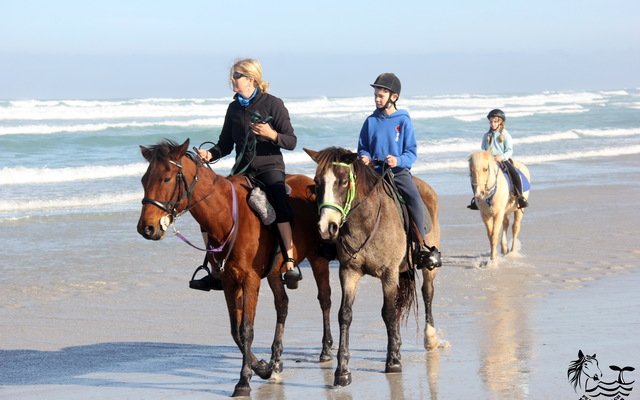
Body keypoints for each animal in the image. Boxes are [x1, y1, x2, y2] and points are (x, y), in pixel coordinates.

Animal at [136, 139, 333, 397]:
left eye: (167, 179)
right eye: (143, 180)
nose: (146, 228)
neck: (226, 216)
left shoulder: (250, 279)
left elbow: (246, 329)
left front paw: (244, 381)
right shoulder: (230, 281)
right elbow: (235, 331)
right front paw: (262, 368)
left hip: (318, 259)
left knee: (325, 299)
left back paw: (326, 350)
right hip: (273, 273)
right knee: (282, 306)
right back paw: (276, 359)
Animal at [304, 146, 440, 387]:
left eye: (343, 182)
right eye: (317, 182)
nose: (327, 228)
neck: (364, 222)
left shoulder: (388, 273)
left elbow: (388, 312)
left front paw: (393, 362)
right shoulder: (348, 272)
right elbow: (345, 315)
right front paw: (342, 371)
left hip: (426, 268)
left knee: (427, 294)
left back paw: (430, 338)